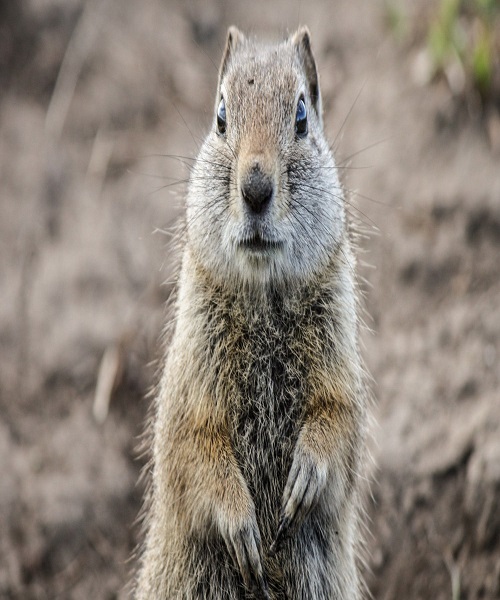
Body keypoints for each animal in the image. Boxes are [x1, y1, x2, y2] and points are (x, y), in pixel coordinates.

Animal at [135, 25, 370, 596]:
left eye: (302, 117)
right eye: (220, 116)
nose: (256, 188)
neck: (264, 303)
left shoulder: (340, 359)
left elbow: (340, 419)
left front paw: (305, 478)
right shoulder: (191, 376)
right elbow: (195, 447)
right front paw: (243, 530)